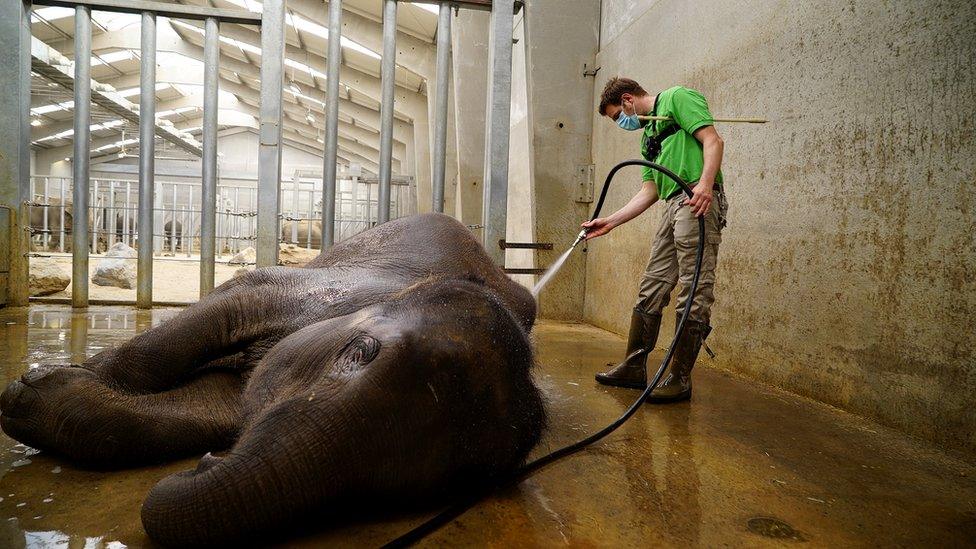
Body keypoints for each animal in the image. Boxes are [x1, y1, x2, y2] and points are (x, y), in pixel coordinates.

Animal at [0, 213, 548, 544]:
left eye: (435, 484)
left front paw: (38, 393)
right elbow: (232, 303)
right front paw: (35, 382)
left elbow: (209, 410)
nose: (206, 463)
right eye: (358, 352)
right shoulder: (320, 291)